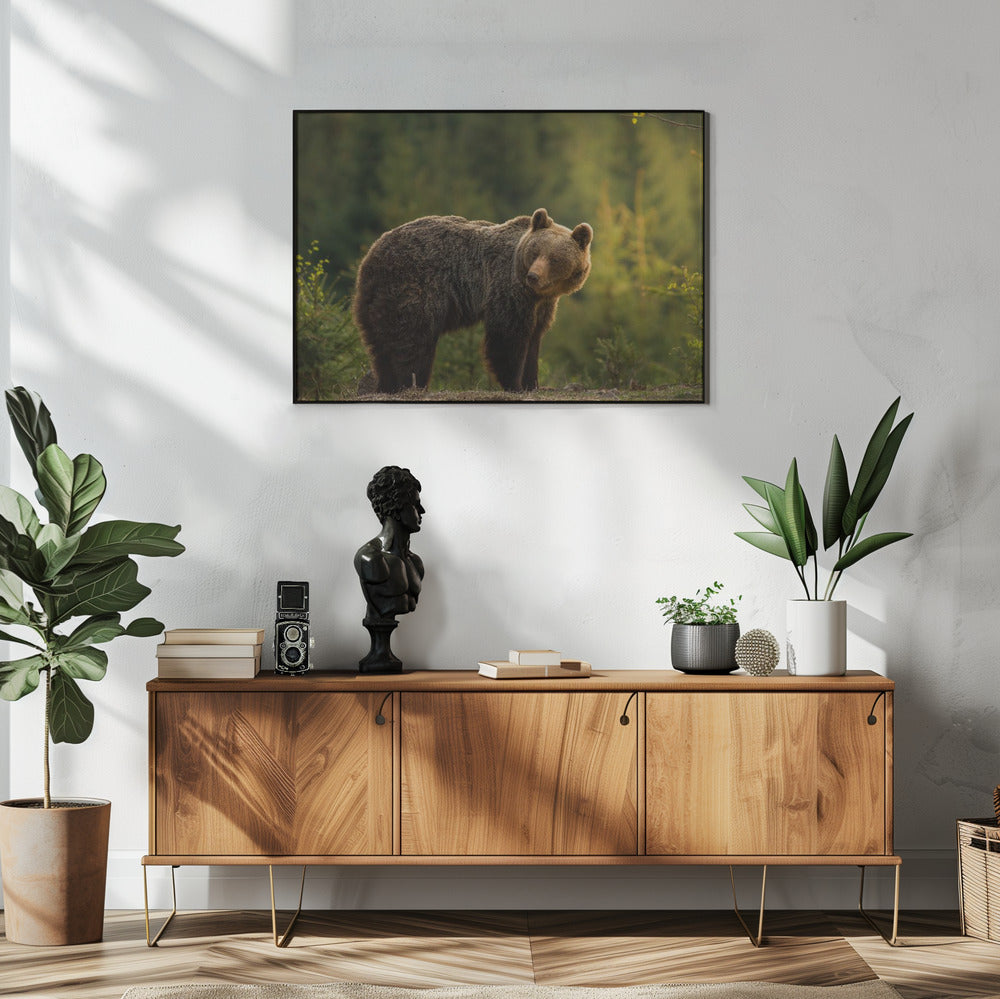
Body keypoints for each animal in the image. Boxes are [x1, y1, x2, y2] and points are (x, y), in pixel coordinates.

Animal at [352, 208, 593, 393]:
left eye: (554, 258)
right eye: (535, 252)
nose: (533, 276)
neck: (537, 293)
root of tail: (371, 256)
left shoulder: (542, 305)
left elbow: (534, 338)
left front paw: (532, 383)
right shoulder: (507, 288)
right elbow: (508, 336)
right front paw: (514, 384)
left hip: (377, 299)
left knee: (381, 344)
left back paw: (386, 384)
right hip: (414, 287)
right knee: (413, 340)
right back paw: (412, 384)